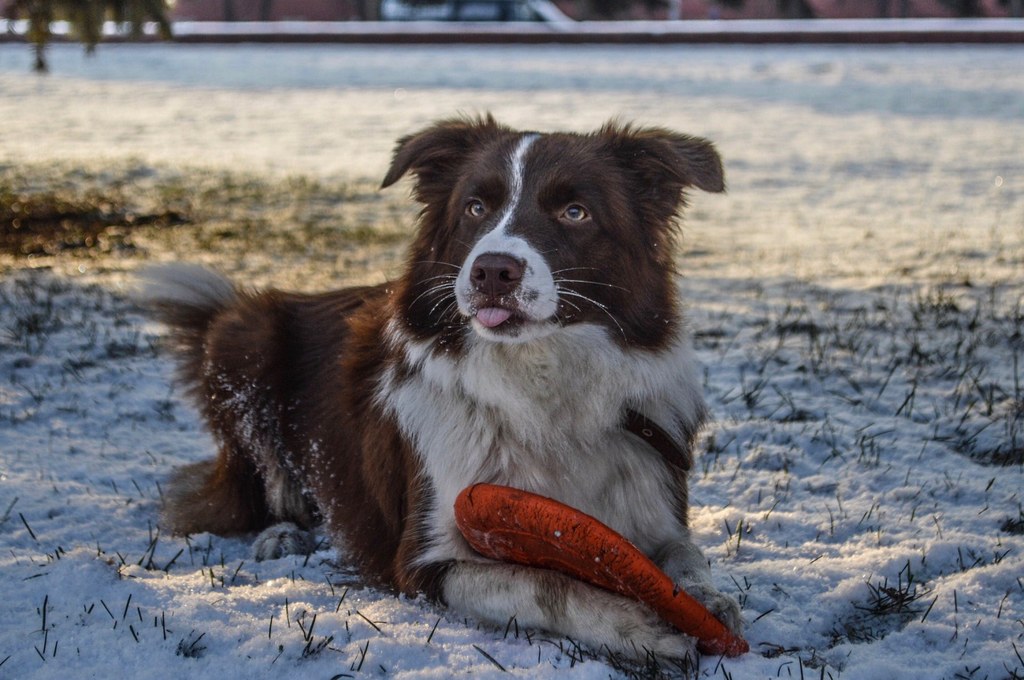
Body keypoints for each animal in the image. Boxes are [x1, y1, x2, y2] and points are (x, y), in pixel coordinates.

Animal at [140, 115, 741, 659]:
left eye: (575, 212)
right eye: (475, 207)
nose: (493, 270)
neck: (540, 387)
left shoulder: (656, 504)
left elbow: (687, 557)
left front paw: (706, 602)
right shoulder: (424, 558)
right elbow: (546, 583)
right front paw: (636, 625)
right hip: (244, 339)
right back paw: (282, 535)